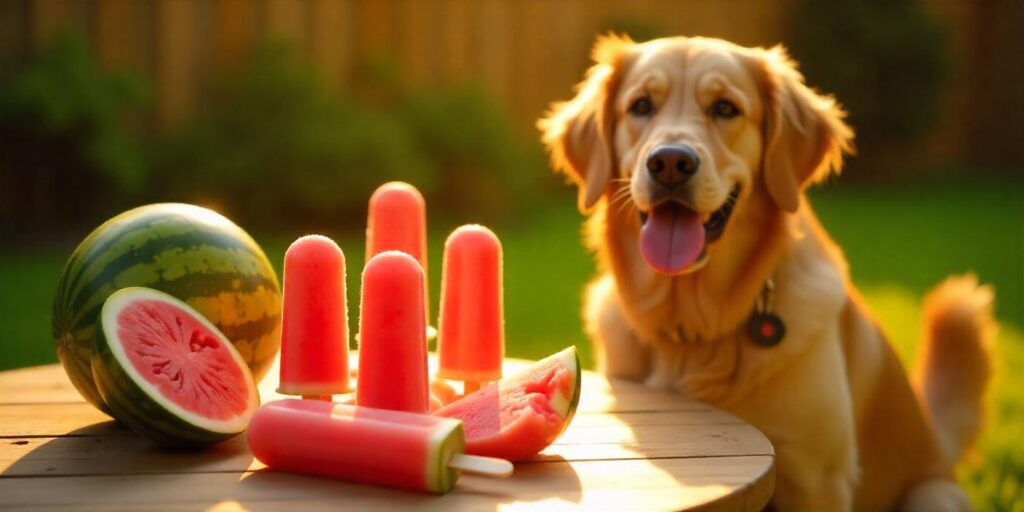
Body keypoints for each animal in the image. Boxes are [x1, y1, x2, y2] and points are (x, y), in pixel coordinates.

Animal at [540, 34, 995, 509]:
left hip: (933, 494)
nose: (669, 163)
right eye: (641, 106)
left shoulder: (818, 479)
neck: (694, 331)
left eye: (725, 108)